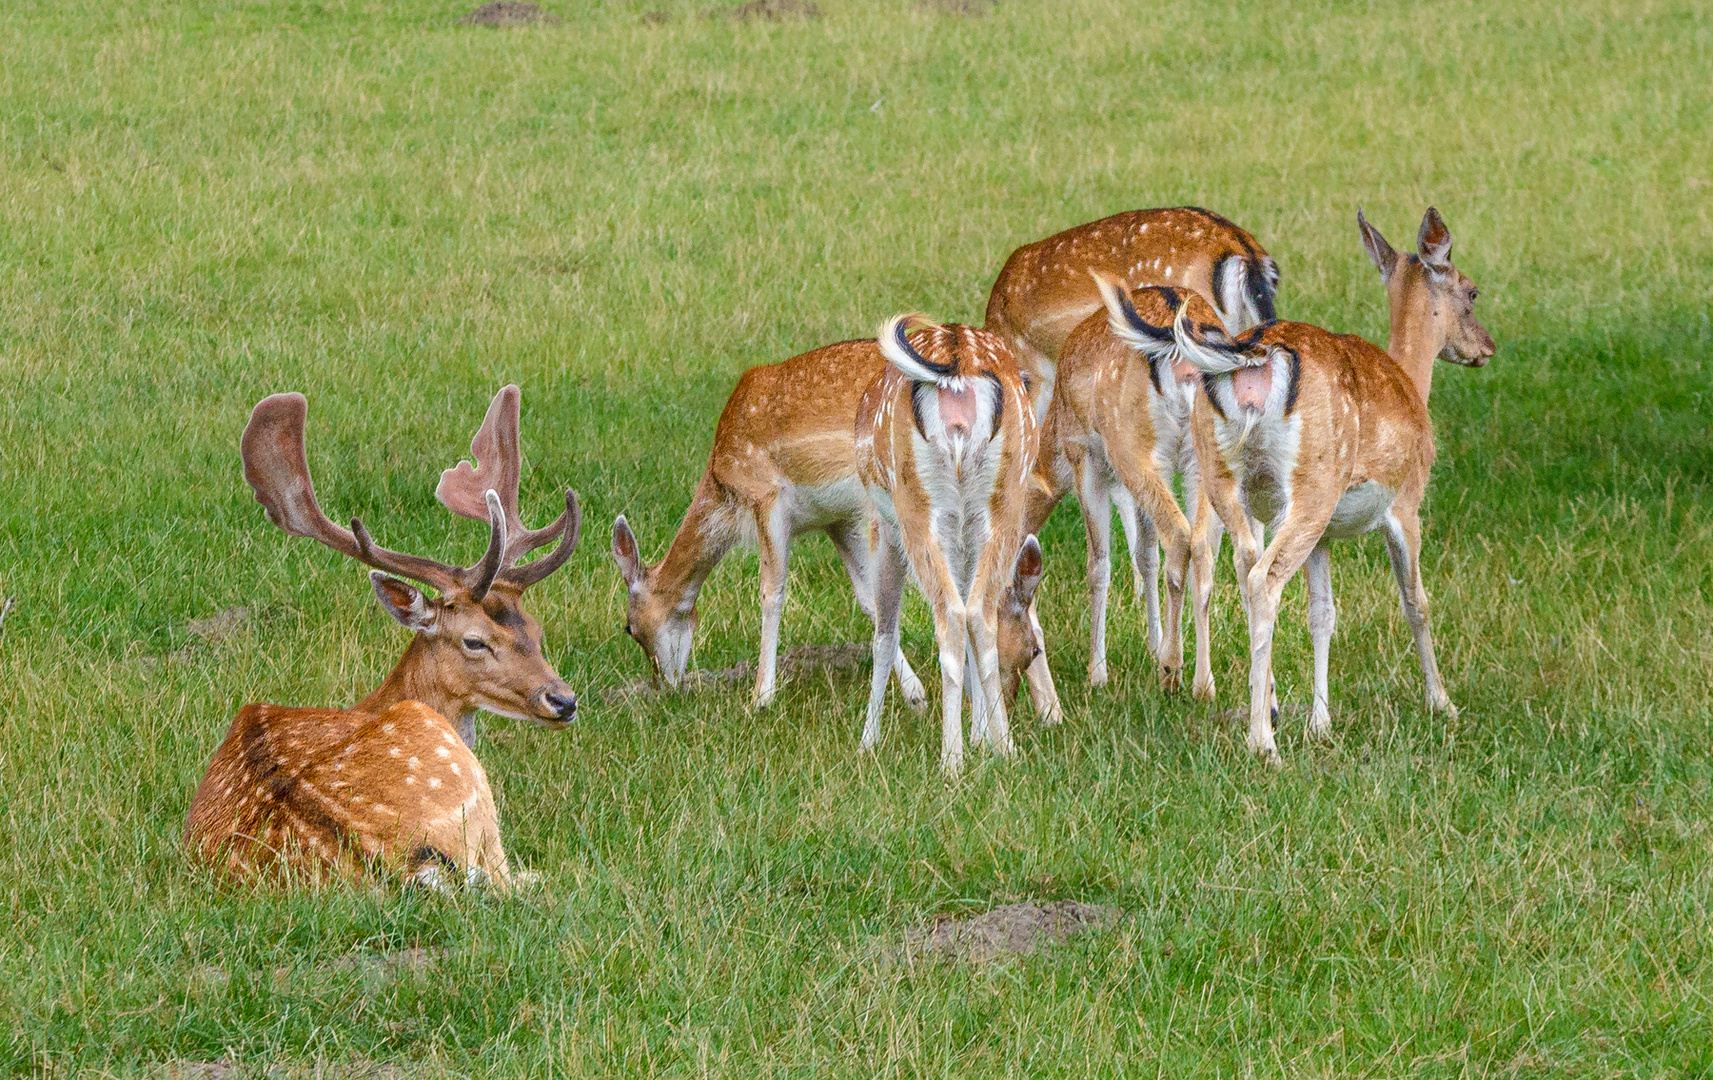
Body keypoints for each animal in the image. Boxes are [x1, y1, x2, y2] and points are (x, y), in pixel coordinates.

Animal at [856, 313, 1041, 778]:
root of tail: (958, 367)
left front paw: (867, 743)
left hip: (916, 507)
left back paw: (951, 760)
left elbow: (884, 634)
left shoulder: (881, 524)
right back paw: (1005, 749)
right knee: (977, 612)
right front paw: (982, 737)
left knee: (951, 616)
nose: (1013, 699)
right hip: (1001, 503)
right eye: (1035, 650)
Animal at [1020, 279, 1240, 699]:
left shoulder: (1086, 458)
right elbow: (1144, 555)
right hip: (1201, 458)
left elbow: (1099, 564)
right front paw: (1151, 644)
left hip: (1133, 447)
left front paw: (1097, 674)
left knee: (1179, 536)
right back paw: (1204, 684)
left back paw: (1172, 671)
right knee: (1202, 544)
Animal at [1178, 209, 1500, 761]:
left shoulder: (1326, 535)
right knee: (1264, 580)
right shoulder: (1406, 503)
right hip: (1313, 484)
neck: (1412, 386)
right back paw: (1263, 743)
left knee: (1241, 567)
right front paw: (1443, 703)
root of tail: (1252, 362)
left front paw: (1321, 722)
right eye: (1472, 291)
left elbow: (1322, 614)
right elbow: (1417, 602)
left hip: (1224, 478)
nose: (1487, 347)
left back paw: (1262, 707)